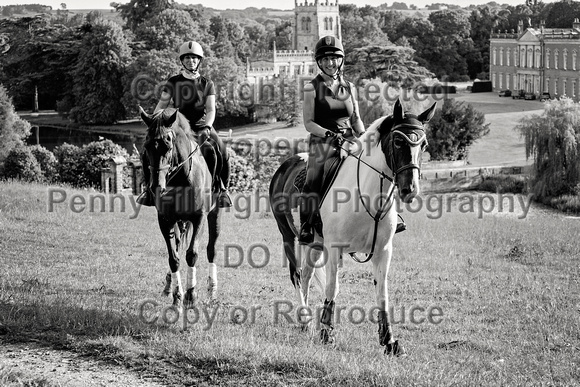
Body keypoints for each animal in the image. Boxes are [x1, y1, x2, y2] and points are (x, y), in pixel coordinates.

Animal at [139, 107, 221, 308]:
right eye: (147, 147)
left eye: (168, 144)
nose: (156, 187)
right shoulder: (164, 220)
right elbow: (173, 258)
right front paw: (177, 295)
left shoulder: (199, 217)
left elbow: (192, 254)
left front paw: (191, 295)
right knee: (176, 246)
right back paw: (169, 287)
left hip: (215, 214)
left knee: (211, 250)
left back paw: (212, 291)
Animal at [268, 100, 436, 358]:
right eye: (398, 142)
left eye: (424, 145)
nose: (410, 190)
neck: (366, 196)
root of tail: (285, 165)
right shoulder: (334, 248)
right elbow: (332, 287)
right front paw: (327, 334)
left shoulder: (383, 251)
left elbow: (382, 292)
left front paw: (389, 341)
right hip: (288, 235)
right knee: (296, 275)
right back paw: (305, 320)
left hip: (314, 244)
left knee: (306, 275)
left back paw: (305, 323)